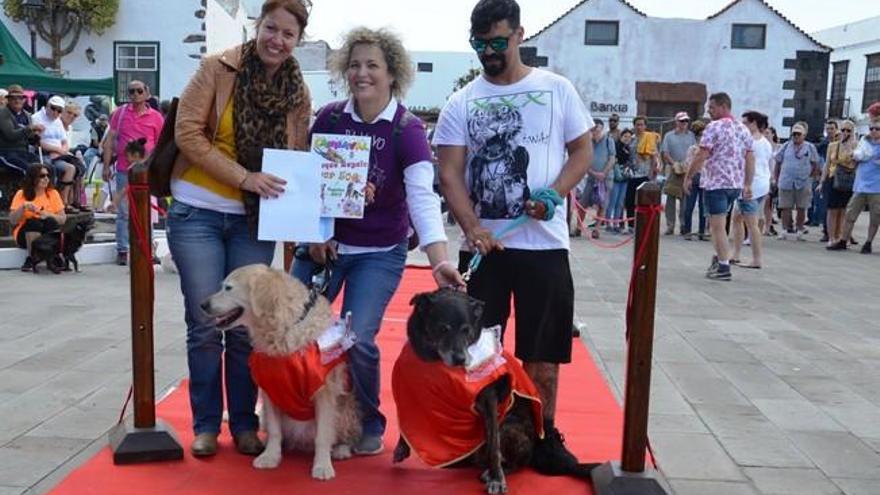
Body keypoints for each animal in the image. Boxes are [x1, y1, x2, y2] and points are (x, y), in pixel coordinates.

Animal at [396, 288, 596, 494]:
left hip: (509, 425)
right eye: (443, 328)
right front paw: (402, 446)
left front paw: (497, 479)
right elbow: (405, 423)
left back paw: (495, 471)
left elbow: (494, 447)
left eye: (466, 330)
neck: (436, 361)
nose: (460, 359)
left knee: (515, 462)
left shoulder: (488, 401)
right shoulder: (410, 389)